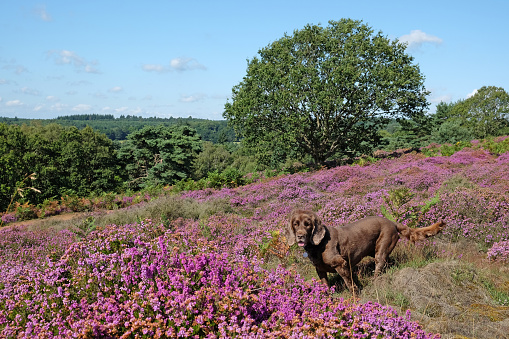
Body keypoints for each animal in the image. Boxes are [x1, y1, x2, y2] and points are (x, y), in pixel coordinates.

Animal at [286, 209, 444, 294]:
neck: (317, 245)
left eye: (308, 224)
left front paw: (355, 296)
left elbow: (350, 283)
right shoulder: (320, 269)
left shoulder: (341, 263)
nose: (300, 236)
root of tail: (392, 222)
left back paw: (375, 281)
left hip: (382, 246)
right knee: (387, 262)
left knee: (379, 264)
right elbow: (325, 284)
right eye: (296, 224)